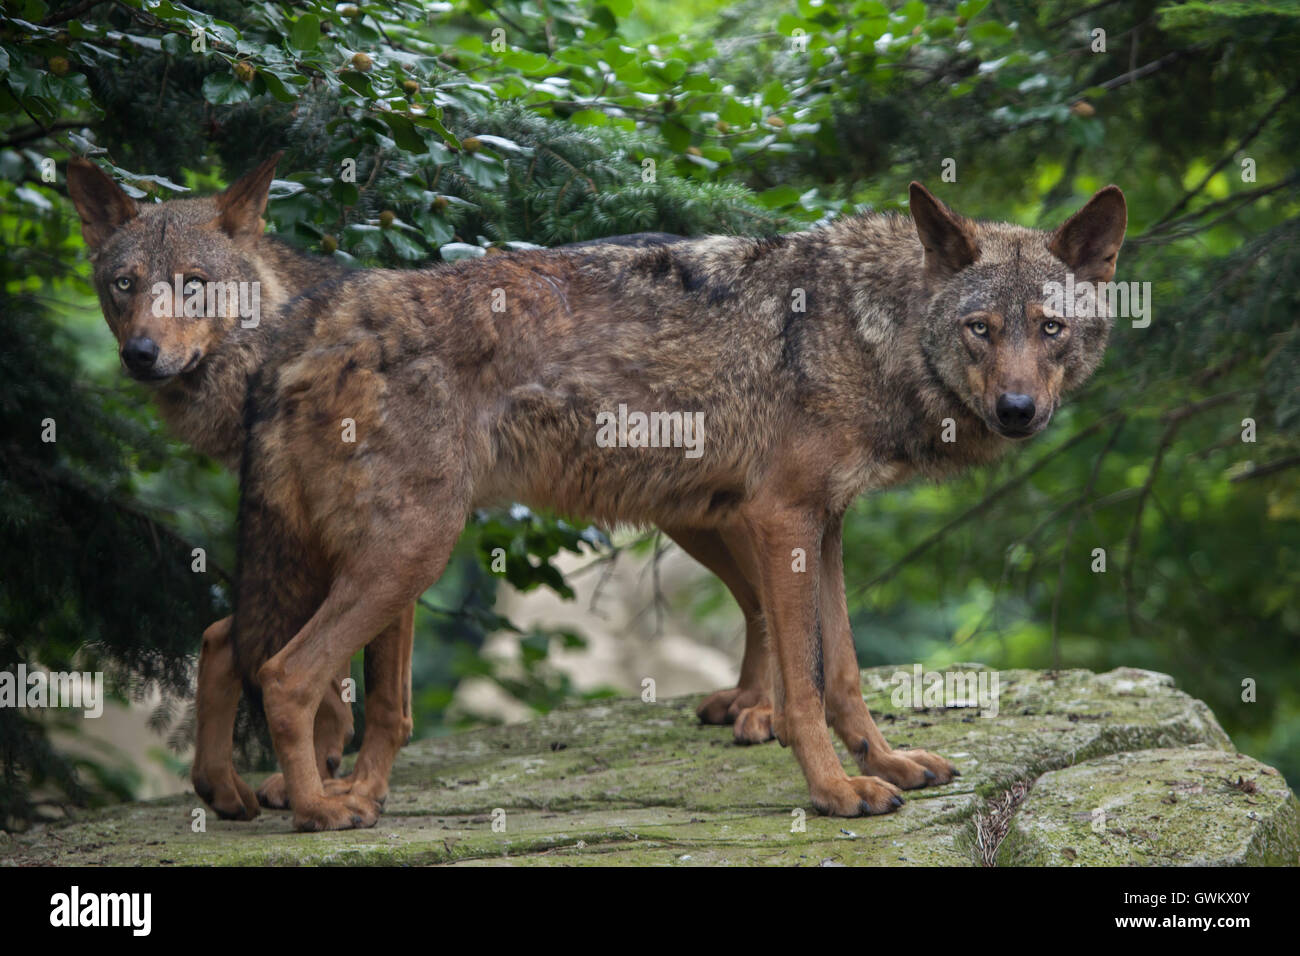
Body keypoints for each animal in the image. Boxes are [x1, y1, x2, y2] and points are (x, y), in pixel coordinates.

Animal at [223, 175, 1128, 832]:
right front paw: (836, 792)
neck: (869, 329)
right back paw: (320, 811)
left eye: (1049, 329)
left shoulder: (827, 526)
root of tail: (316, 316)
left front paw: (887, 764)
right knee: (283, 674)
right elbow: (805, 691)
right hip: (412, 554)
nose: (1018, 410)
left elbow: (844, 675)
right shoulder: (783, 517)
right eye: (980, 329)